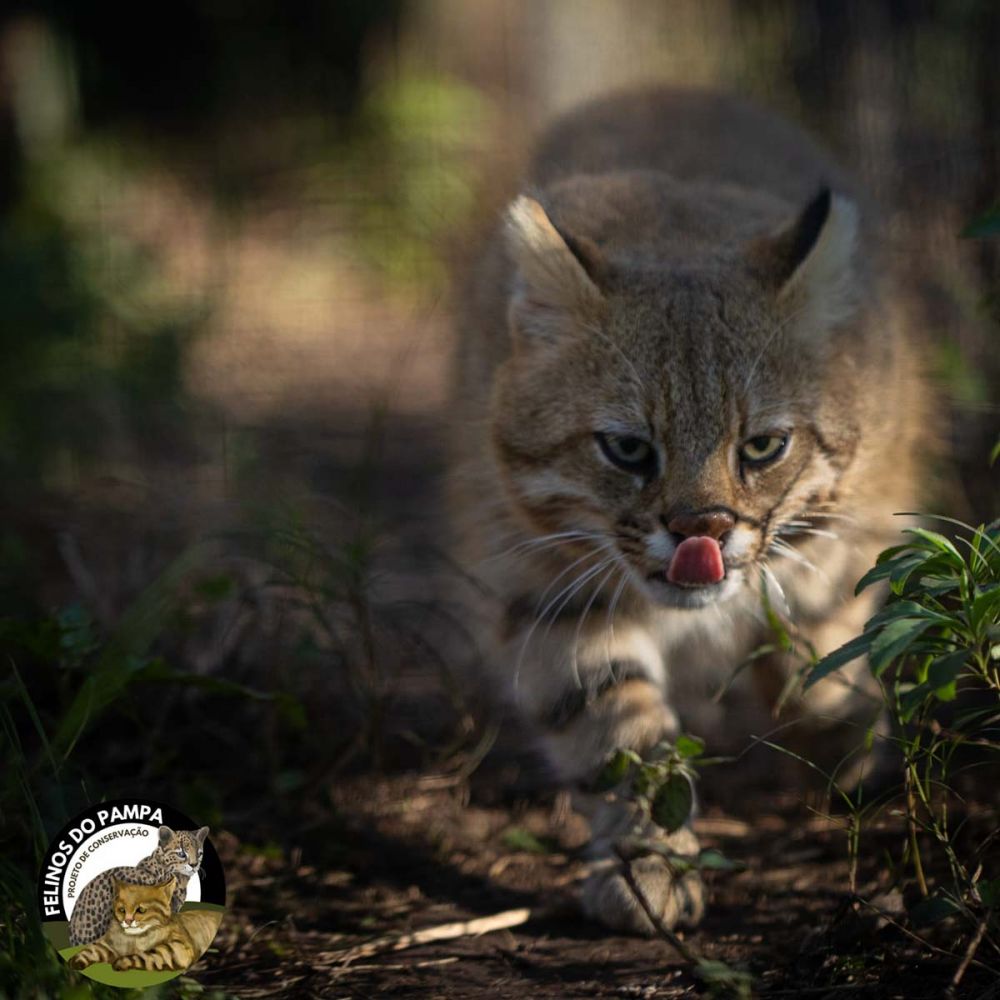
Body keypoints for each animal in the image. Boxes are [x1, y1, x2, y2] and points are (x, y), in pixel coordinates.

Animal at [68, 880, 221, 972]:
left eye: (141, 910)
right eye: (122, 909)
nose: (128, 921)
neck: (134, 940)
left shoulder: (179, 947)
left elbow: (146, 955)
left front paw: (121, 962)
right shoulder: (108, 944)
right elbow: (91, 949)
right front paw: (76, 960)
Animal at [450, 88, 924, 936]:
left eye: (764, 446)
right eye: (628, 450)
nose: (703, 531)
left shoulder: (848, 524)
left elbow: (827, 647)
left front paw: (842, 737)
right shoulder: (544, 579)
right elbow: (617, 728)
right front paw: (649, 861)